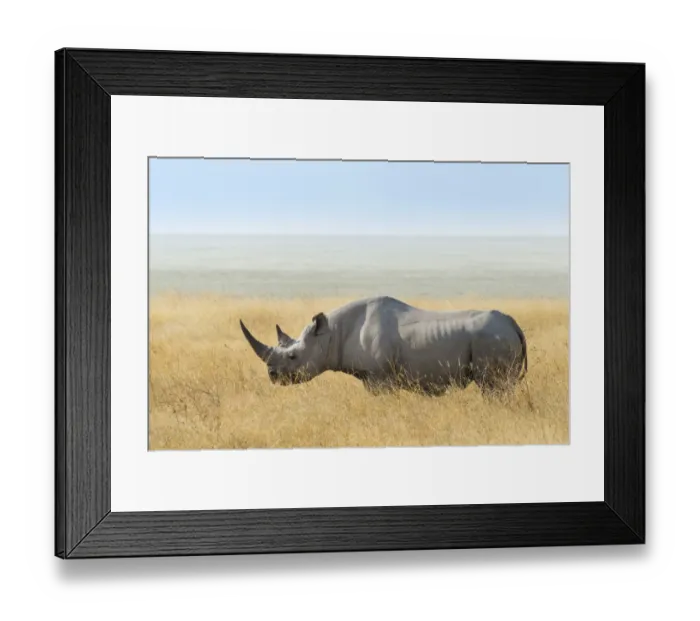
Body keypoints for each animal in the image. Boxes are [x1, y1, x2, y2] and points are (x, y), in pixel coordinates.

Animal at [239, 296, 527, 396]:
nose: (272, 376)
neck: (331, 335)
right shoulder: (372, 377)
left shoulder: (380, 378)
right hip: (496, 336)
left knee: (494, 387)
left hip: (491, 338)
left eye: (293, 356)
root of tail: (512, 323)